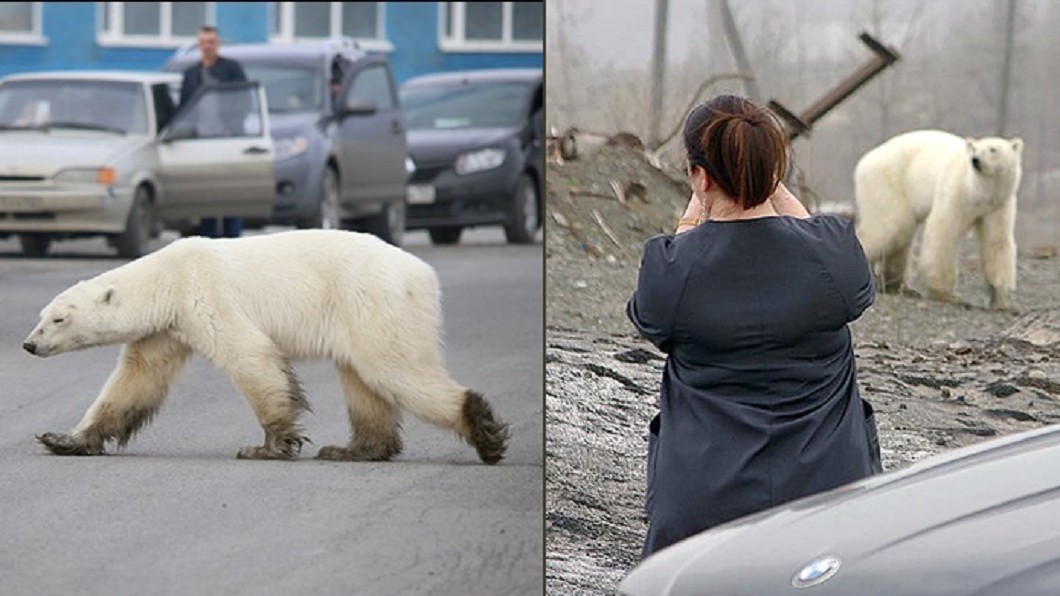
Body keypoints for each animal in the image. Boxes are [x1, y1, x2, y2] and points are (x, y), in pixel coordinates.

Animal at [22, 229, 510, 464]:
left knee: (393, 368)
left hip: (371, 299)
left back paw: (484, 431)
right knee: (363, 380)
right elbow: (135, 381)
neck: (167, 277)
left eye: (59, 319)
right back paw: (352, 449)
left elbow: (250, 357)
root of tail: (423, 274)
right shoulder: (166, 329)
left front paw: (269, 446)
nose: (28, 344)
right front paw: (63, 439)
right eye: (41, 315)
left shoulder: (205, 294)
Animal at [853, 129, 1023, 311]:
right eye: (974, 149)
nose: (975, 160)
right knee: (892, 226)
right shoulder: (956, 192)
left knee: (902, 235)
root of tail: (864, 161)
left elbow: (997, 241)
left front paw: (1005, 303)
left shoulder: (998, 205)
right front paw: (947, 295)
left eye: (992, 149)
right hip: (887, 183)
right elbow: (944, 232)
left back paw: (899, 287)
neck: (979, 191)